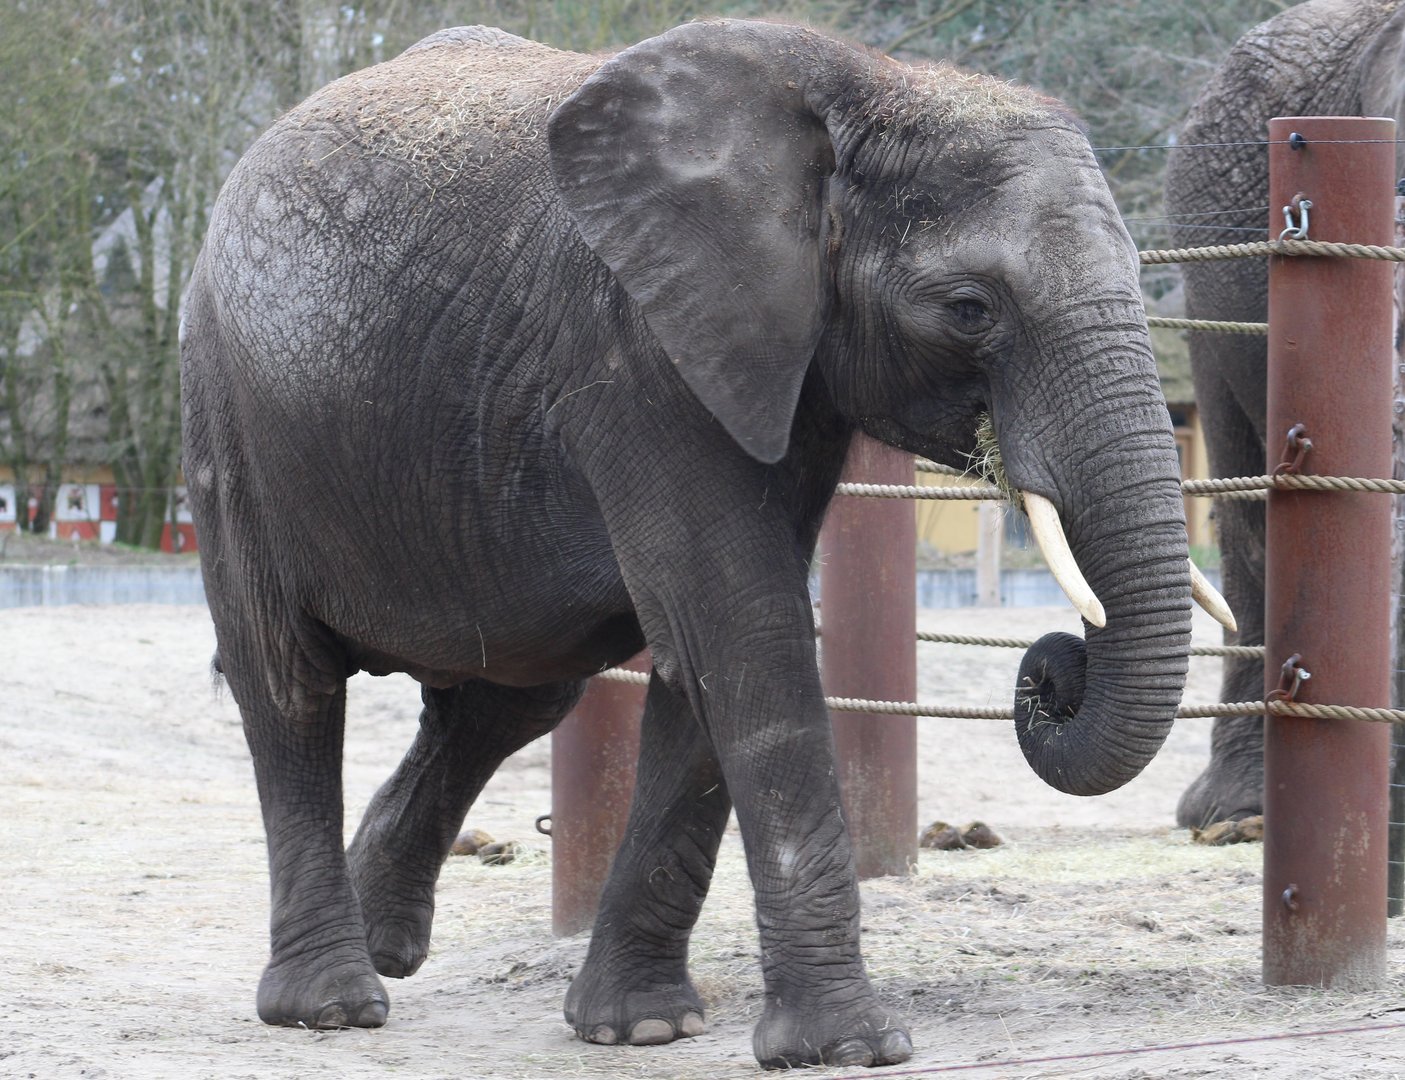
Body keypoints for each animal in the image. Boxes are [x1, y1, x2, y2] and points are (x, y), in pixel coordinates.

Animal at [180, 19, 1213, 1070]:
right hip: (226, 414)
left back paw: (384, 945)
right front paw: (851, 1047)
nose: (1052, 671)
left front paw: (640, 1027)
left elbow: (706, 656)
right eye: (969, 307)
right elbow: (743, 625)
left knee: (511, 692)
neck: (863, 89)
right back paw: (331, 1004)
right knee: (290, 683)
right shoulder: (635, 345)